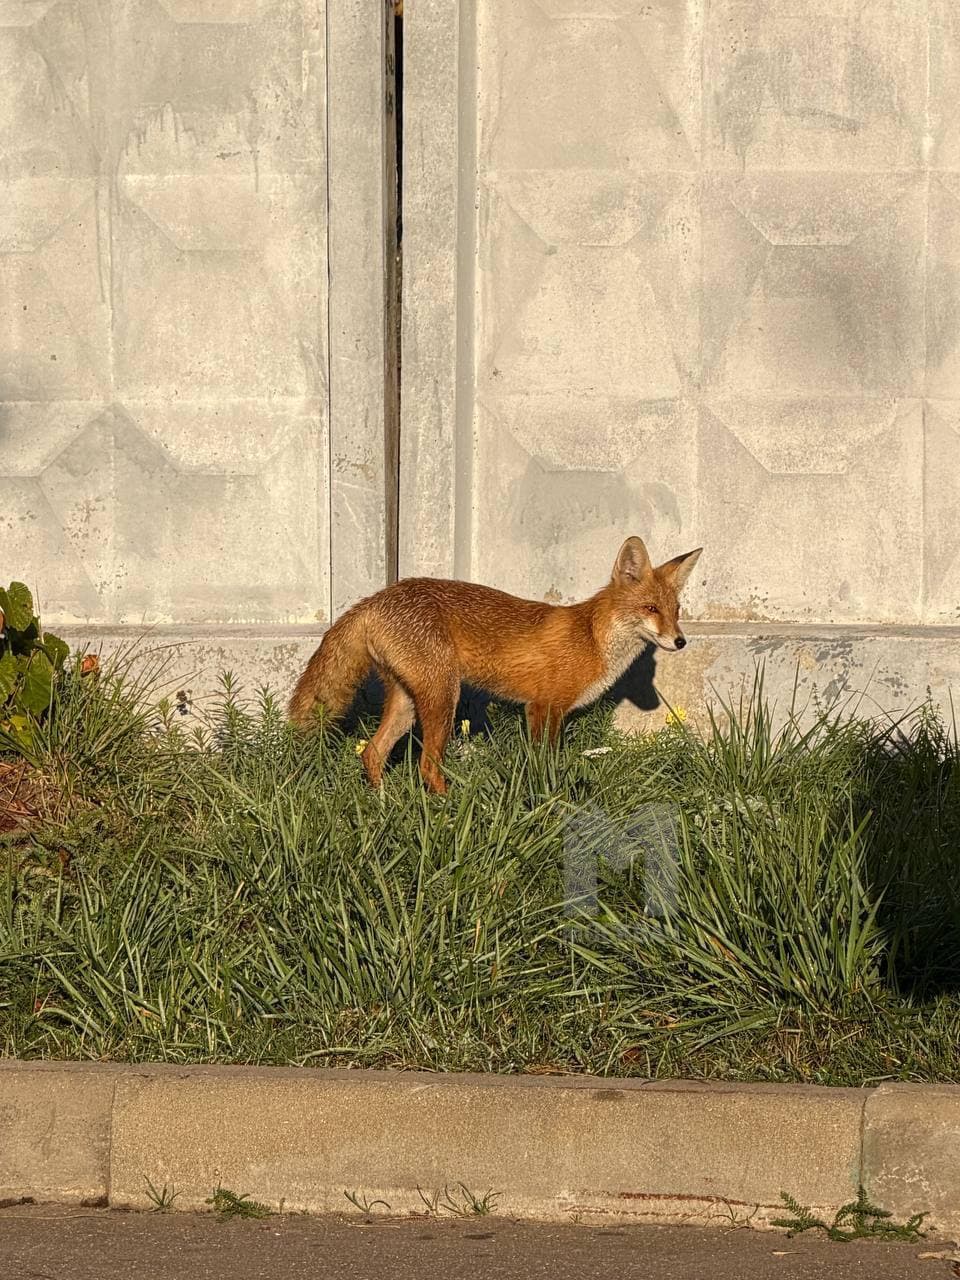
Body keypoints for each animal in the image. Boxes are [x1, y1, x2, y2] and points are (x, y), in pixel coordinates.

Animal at [289, 536, 702, 794]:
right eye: (651, 608)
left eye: (676, 611)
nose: (681, 641)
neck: (592, 639)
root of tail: (375, 598)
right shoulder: (543, 708)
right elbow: (544, 766)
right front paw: (549, 803)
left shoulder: (545, 710)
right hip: (444, 699)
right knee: (426, 765)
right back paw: (447, 808)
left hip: (409, 701)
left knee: (372, 753)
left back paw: (382, 804)